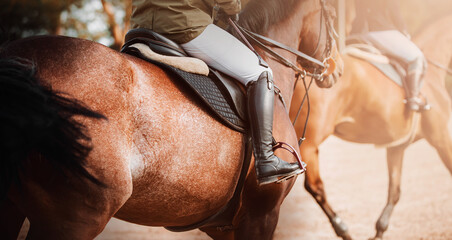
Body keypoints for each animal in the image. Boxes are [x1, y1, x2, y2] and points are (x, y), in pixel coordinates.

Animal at [0, 0, 340, 238]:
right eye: (335, 18)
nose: (335, 72)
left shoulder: (224, 226)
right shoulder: (260, 216)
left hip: (14, 208)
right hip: (78, 214)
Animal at [290, 14, 452, 239]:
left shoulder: (396, 147)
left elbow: (394, 191)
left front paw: (379, 231)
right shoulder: (442, 138)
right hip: (308, 143)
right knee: (315, 187)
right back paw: (343, 229)